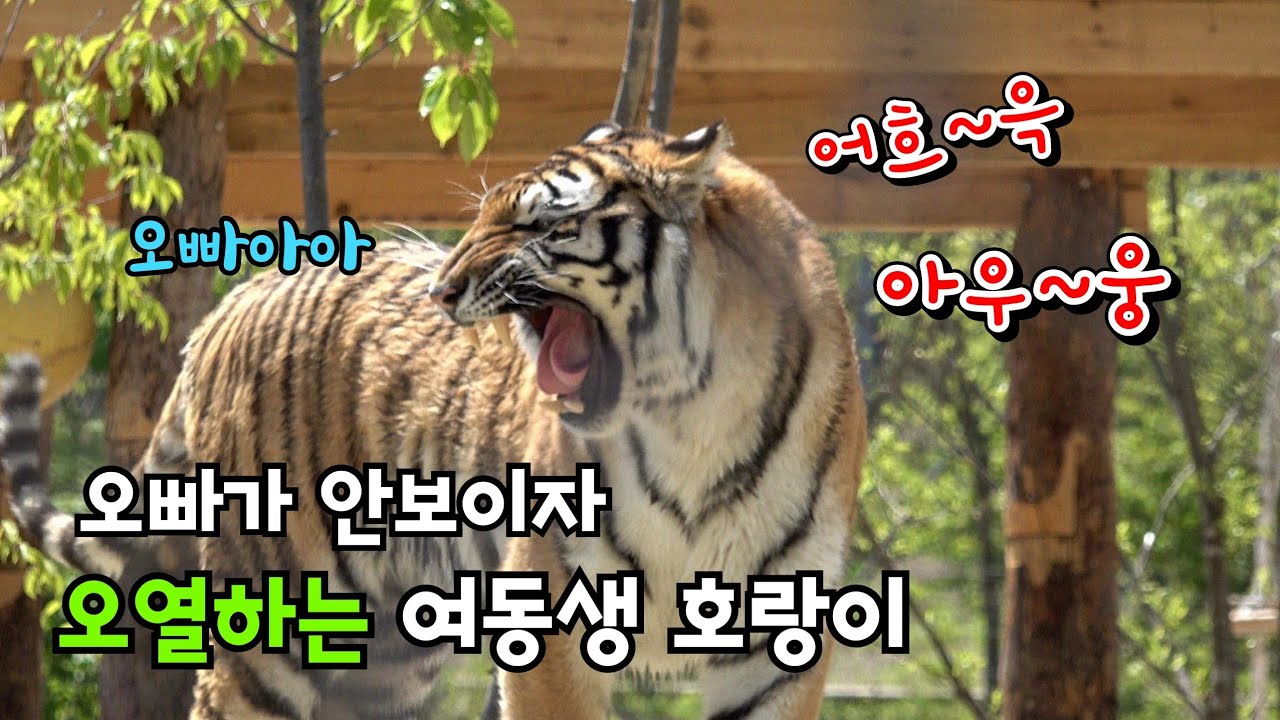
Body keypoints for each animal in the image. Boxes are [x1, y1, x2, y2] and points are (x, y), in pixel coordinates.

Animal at [1, 119, 867, 720]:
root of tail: (235, 300)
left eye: (534, 223)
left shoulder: (779, 636)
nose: (442, 291)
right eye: (485, 214)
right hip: (270, 620)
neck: (694, 414)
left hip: (381, 656)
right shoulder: (551, 609)